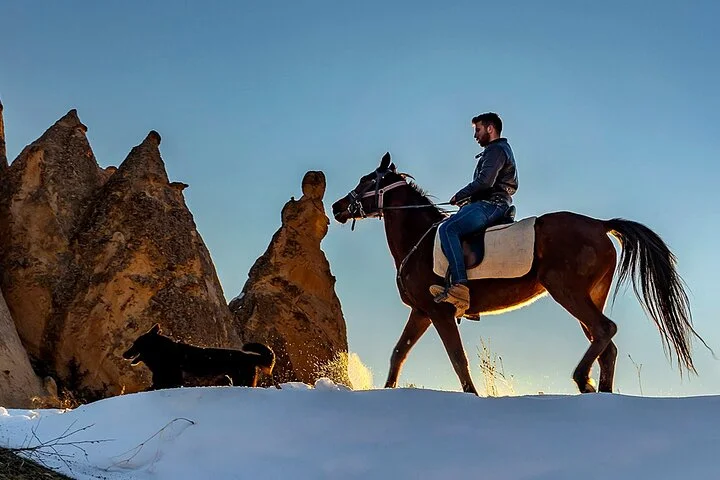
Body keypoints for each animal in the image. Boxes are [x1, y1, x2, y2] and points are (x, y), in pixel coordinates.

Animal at [331, 152, 708, 395]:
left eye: (367, 181)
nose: (337, 207)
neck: (419, 239)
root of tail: (600, 225)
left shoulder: (439, 312)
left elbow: (457, 359)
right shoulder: (422, 312)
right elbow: (399, 353)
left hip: (566, 291)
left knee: (606, 331)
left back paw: (581, 379)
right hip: (589, 295)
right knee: (607, 345)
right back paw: (599, 392)